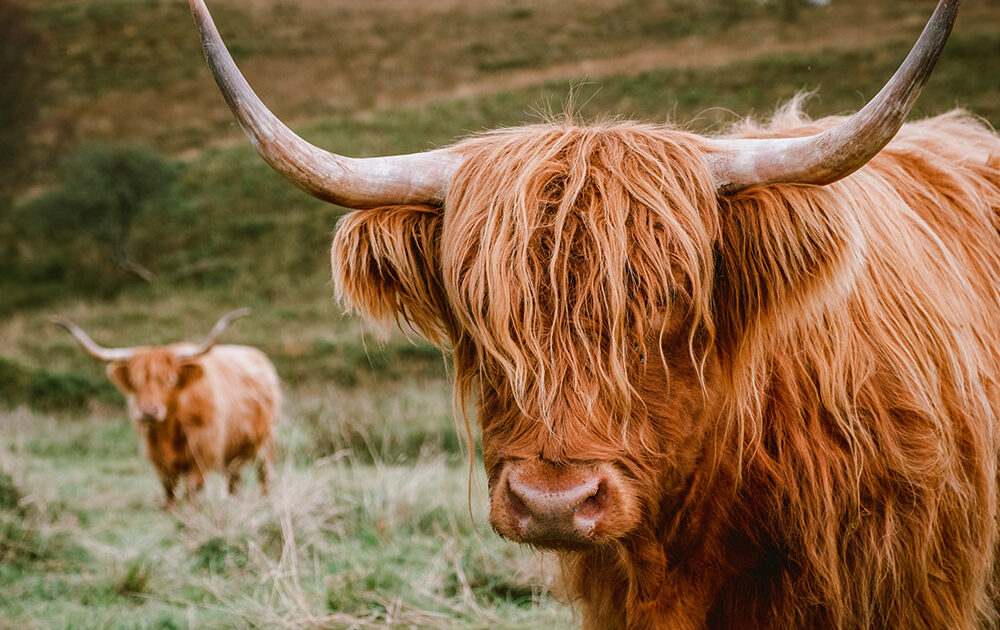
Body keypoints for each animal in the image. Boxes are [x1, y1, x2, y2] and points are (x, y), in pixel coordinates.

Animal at [52, 308, 280, 512]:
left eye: (170, 380)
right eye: (135, 382)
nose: (148, 411)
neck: (170, 427)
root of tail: (260, 356)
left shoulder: (204, 450)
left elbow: (193, 486)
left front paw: (191, 512)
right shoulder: (156, 453)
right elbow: (168, 485)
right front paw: (169, 510)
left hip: (266, 441)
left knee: (265, 472)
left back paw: (266, 502)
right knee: (234, 478)